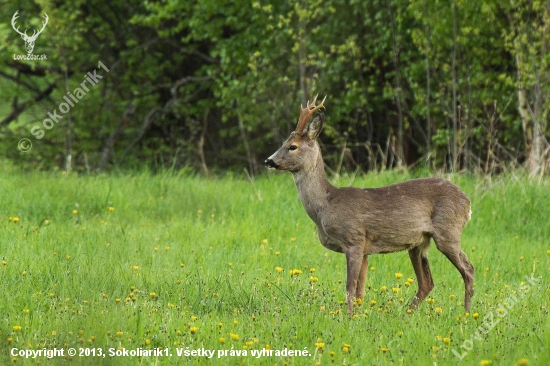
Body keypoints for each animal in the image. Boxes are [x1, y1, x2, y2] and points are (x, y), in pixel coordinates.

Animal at [266, 96, 476, 314]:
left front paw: (349, 316)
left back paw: (466, 313)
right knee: (427, 282)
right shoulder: (365, 249)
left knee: (468, 269)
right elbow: (360, 290)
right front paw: (358, 315)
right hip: (418, 242)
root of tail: (468, 202)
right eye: (283, 143)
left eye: (293, 146)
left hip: (447, 230)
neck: (324, 206)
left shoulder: (354, 239)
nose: (268, 160)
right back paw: (406, 314)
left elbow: (350, 287)